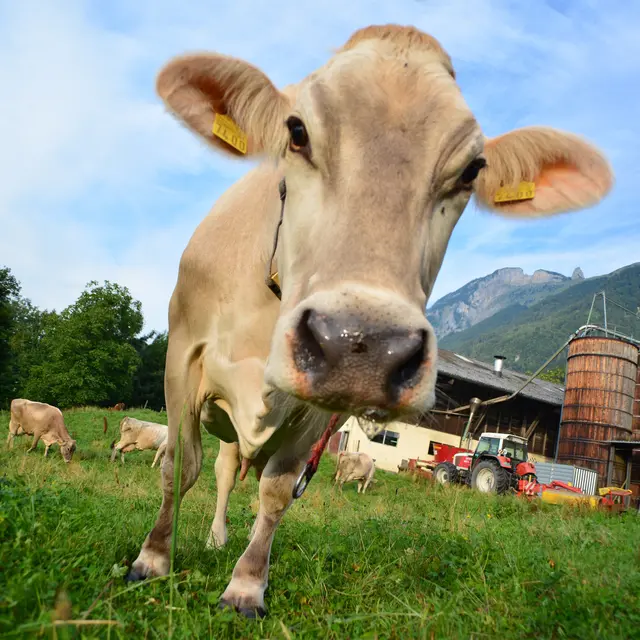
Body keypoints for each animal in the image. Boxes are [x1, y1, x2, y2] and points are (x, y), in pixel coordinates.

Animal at [125, 24, 613, 618]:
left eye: (471, 169)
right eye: (296, 131)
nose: (363, 345)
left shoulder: (314, 409)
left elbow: (276, 491)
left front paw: (246, 585)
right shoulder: (181, 356)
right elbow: (180, 465)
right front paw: (152, 559)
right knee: (217, 467)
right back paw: (215, 535)